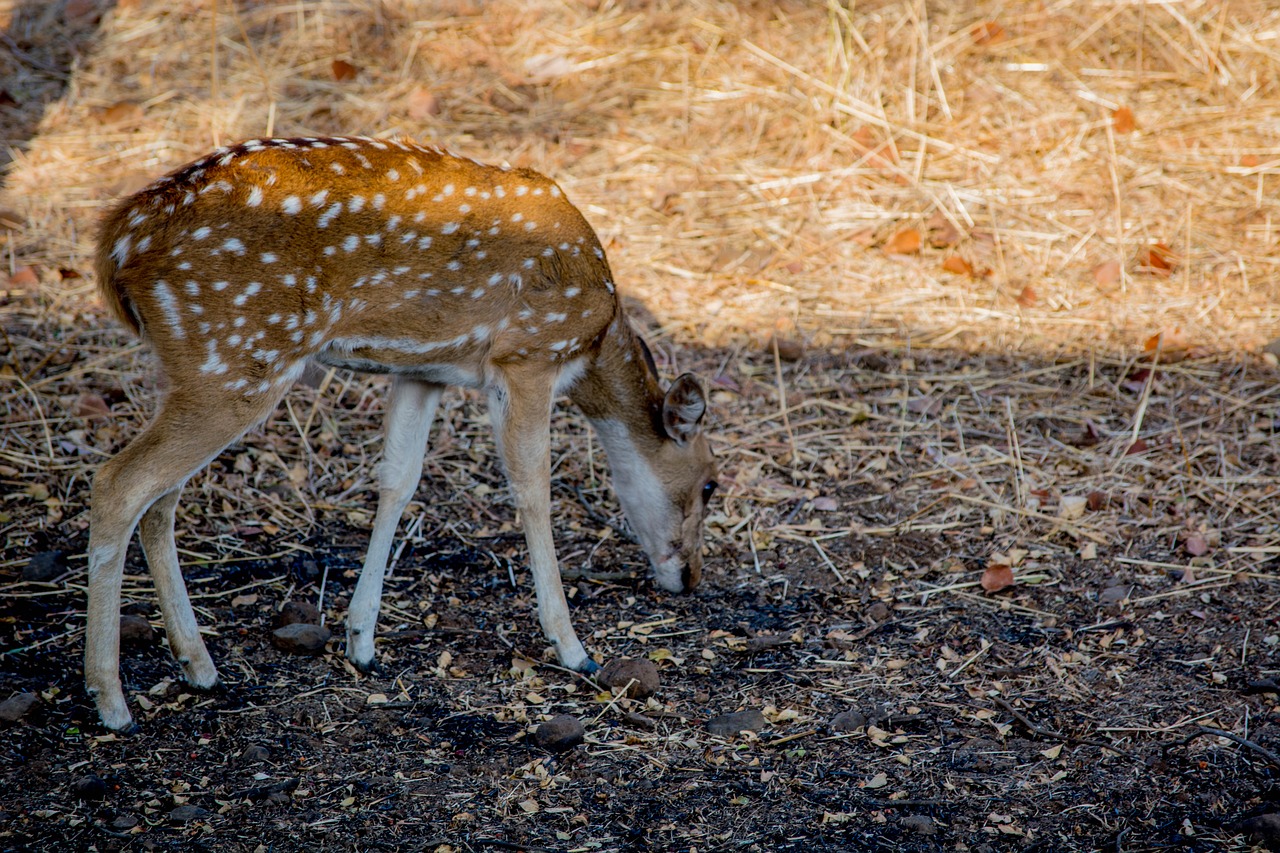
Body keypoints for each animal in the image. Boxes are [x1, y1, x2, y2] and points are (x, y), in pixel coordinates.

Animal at [85, 137, 716, 732]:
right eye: (711, 484)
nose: (689, 577)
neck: (593, 339)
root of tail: (116, 244)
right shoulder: (528, 354)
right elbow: (532, 487)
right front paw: (573, 647)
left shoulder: (423, 370)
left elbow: (399, 478)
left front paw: (361, 641)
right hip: (237, 355)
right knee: (119, 482)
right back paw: (111, 700)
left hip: (196, 368)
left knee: (161, 499)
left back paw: (199, 666)